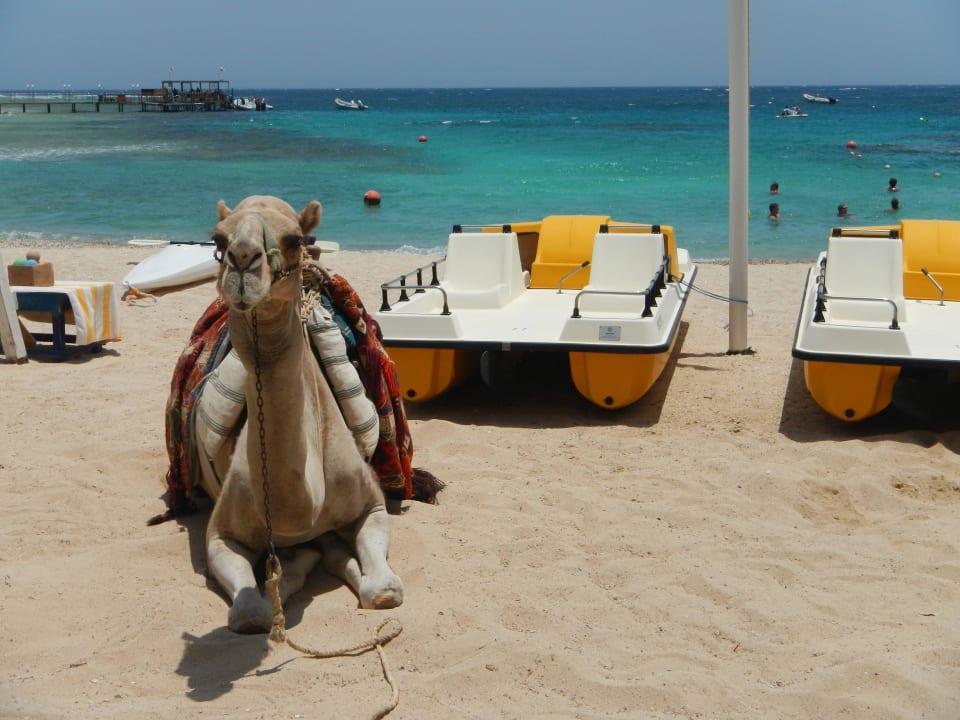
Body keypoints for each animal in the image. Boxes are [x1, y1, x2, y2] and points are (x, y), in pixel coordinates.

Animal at [194, 195, 403, 633]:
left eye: (295, 239)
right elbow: (250, 613)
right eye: (218, 239)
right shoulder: (220, 535)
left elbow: (384, 591)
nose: (243, 260)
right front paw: (287, 575)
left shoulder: (373, 506)